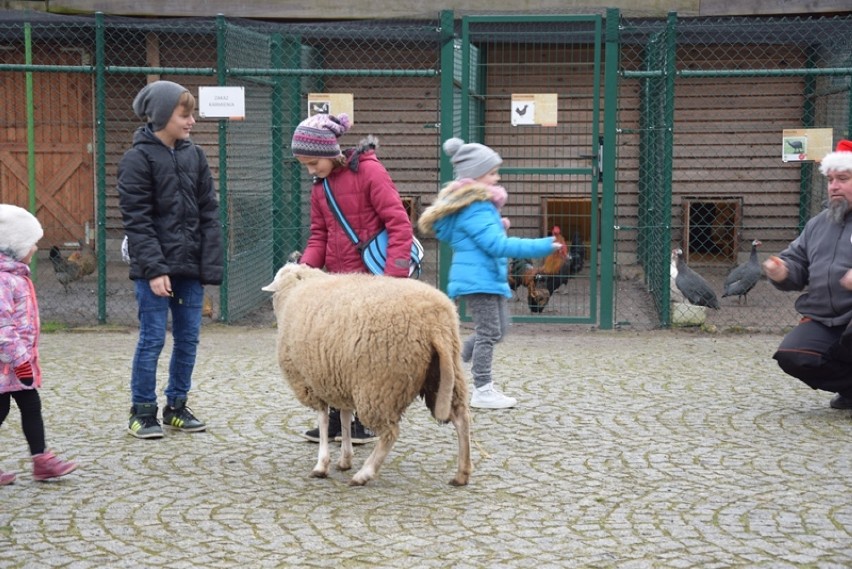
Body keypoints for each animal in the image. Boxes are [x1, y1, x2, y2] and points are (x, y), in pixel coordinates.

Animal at [262, 264, 472, 486]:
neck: (296, 291)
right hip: (442, 376)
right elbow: (345, 417)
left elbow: (323, 420)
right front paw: (345, 459)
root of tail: (435, 323)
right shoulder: (339, 379)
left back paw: (365, 473)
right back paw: (462, 473)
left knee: (390, 432)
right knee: (461, 418)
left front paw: (321, 465)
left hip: (380, 385)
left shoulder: (310, 382)